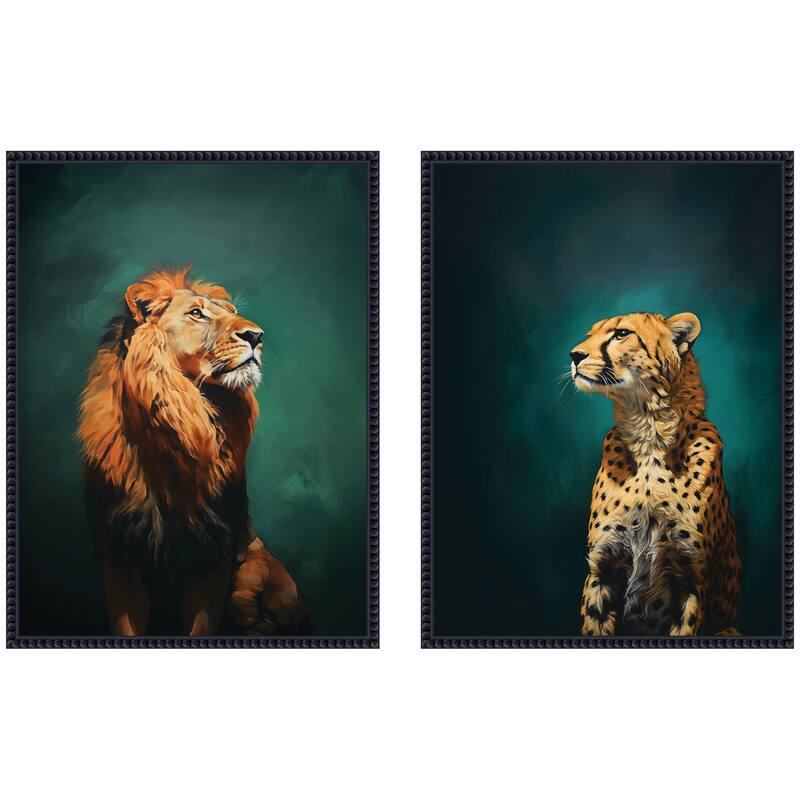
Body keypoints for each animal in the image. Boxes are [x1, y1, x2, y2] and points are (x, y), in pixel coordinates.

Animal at [77, 265, 310, 636]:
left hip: (252, 574)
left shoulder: (213, 551)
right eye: (197, 314)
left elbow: (201, 627)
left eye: (230, 312)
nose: (257, 336)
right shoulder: (119, 554)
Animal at [570, 311, 741, 636]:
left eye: (621, 333)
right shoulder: (602, 569)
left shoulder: (692, 580)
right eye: (589, 335)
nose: (574, 355)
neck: (649, 432)